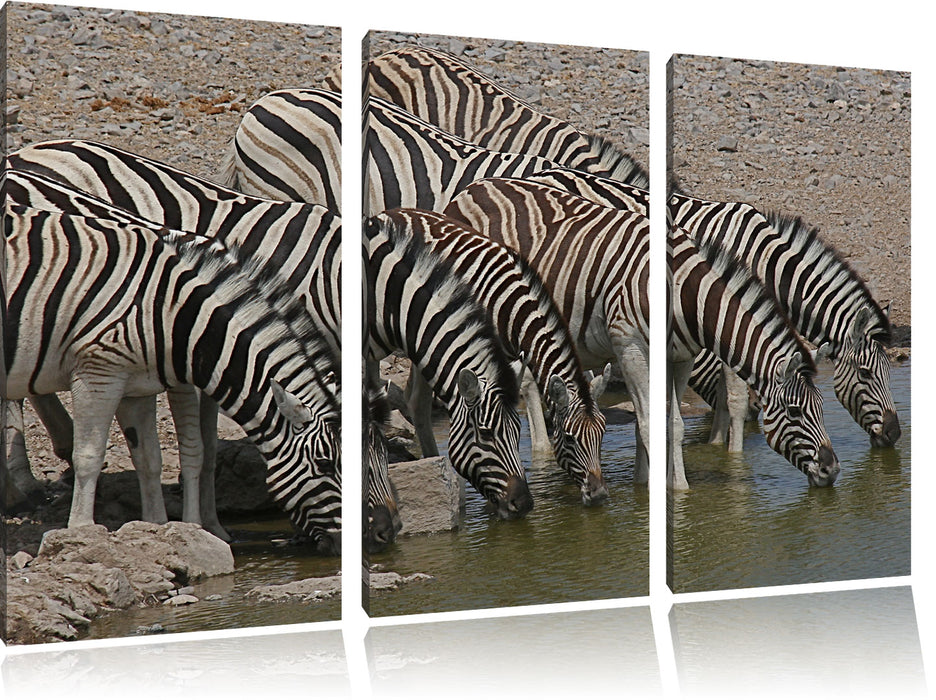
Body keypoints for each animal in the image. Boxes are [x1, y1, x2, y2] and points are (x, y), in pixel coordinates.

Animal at [376, 205, 612, 506]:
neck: (510, 307)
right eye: (570, 438)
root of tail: (392, 211)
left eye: (602, 434)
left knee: (416, 398)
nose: (599, 494)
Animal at [664, 186, 900, 448]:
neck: (765, 263)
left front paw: (716, 445)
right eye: (865, 372)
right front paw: (733, 455)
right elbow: (735, 397)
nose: (894, 433)